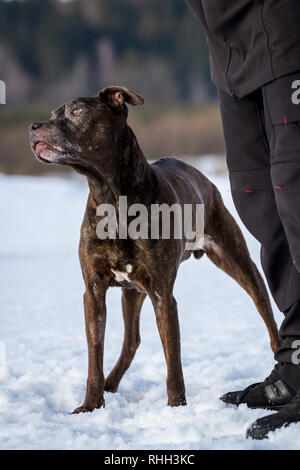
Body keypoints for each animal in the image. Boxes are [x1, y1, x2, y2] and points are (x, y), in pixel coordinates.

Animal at [29, 86, 280, 414]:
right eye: (52, 114)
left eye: (76, 111)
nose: (33, 127)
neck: (111, 196)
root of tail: (203, 177)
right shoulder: (94, 291)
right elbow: (94, 356)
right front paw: (90, 406)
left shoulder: (162, 294)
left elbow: (172, 358)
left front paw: (176, 407)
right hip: (132, 291)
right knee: (131, 340)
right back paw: (111, 383)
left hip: (238, 262)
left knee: (266, 312)